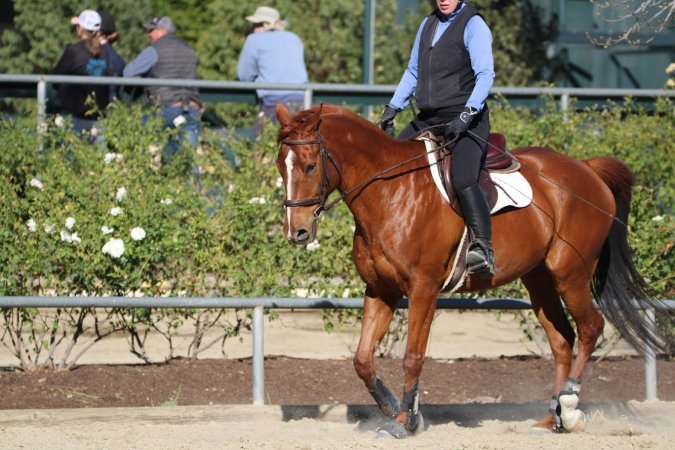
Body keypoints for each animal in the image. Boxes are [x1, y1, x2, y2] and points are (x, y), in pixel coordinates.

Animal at [274, 103, 673, 438]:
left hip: (570, 274)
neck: (391, 193)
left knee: (590, 328)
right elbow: (362, 360)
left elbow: (412, 356)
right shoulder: (381, 290)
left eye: (310, 166)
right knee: (562, 339)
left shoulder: (423, 288)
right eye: (281, 166)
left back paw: (570, 407)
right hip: (539, 280)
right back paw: (550, 418)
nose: (297, 231)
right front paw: (396, 409)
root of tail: (587, 168)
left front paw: (404, 422)